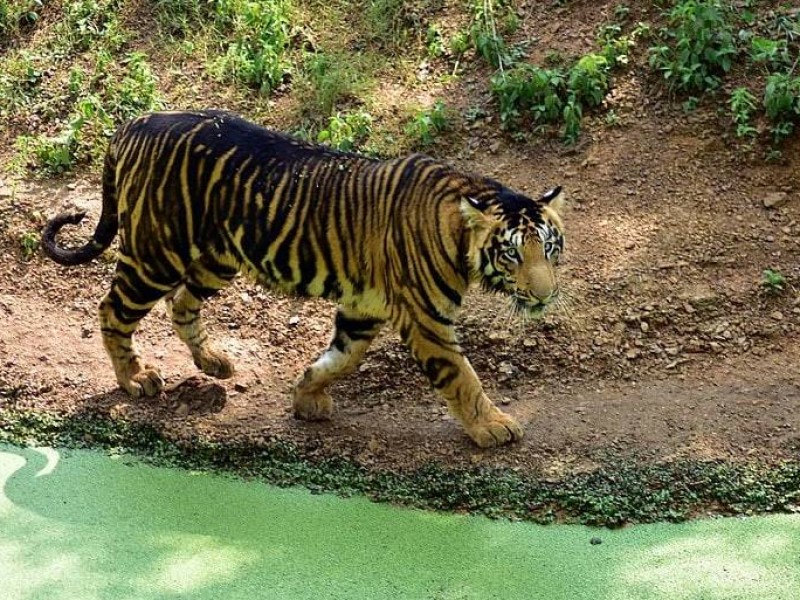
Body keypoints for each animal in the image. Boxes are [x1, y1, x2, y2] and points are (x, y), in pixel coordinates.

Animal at [40, 110, 564, 448]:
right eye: (513, 254)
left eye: (549, 248)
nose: (545, 294)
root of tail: (133, 123)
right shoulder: (427, 320)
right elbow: (462, 377)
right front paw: (494, 427)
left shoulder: (362, 308)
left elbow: (341, 358)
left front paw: (306, 395)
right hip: (156, 254)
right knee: (113, 309)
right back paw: (135, 379)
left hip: (216, 258)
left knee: (182, 302)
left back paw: (214, 362)